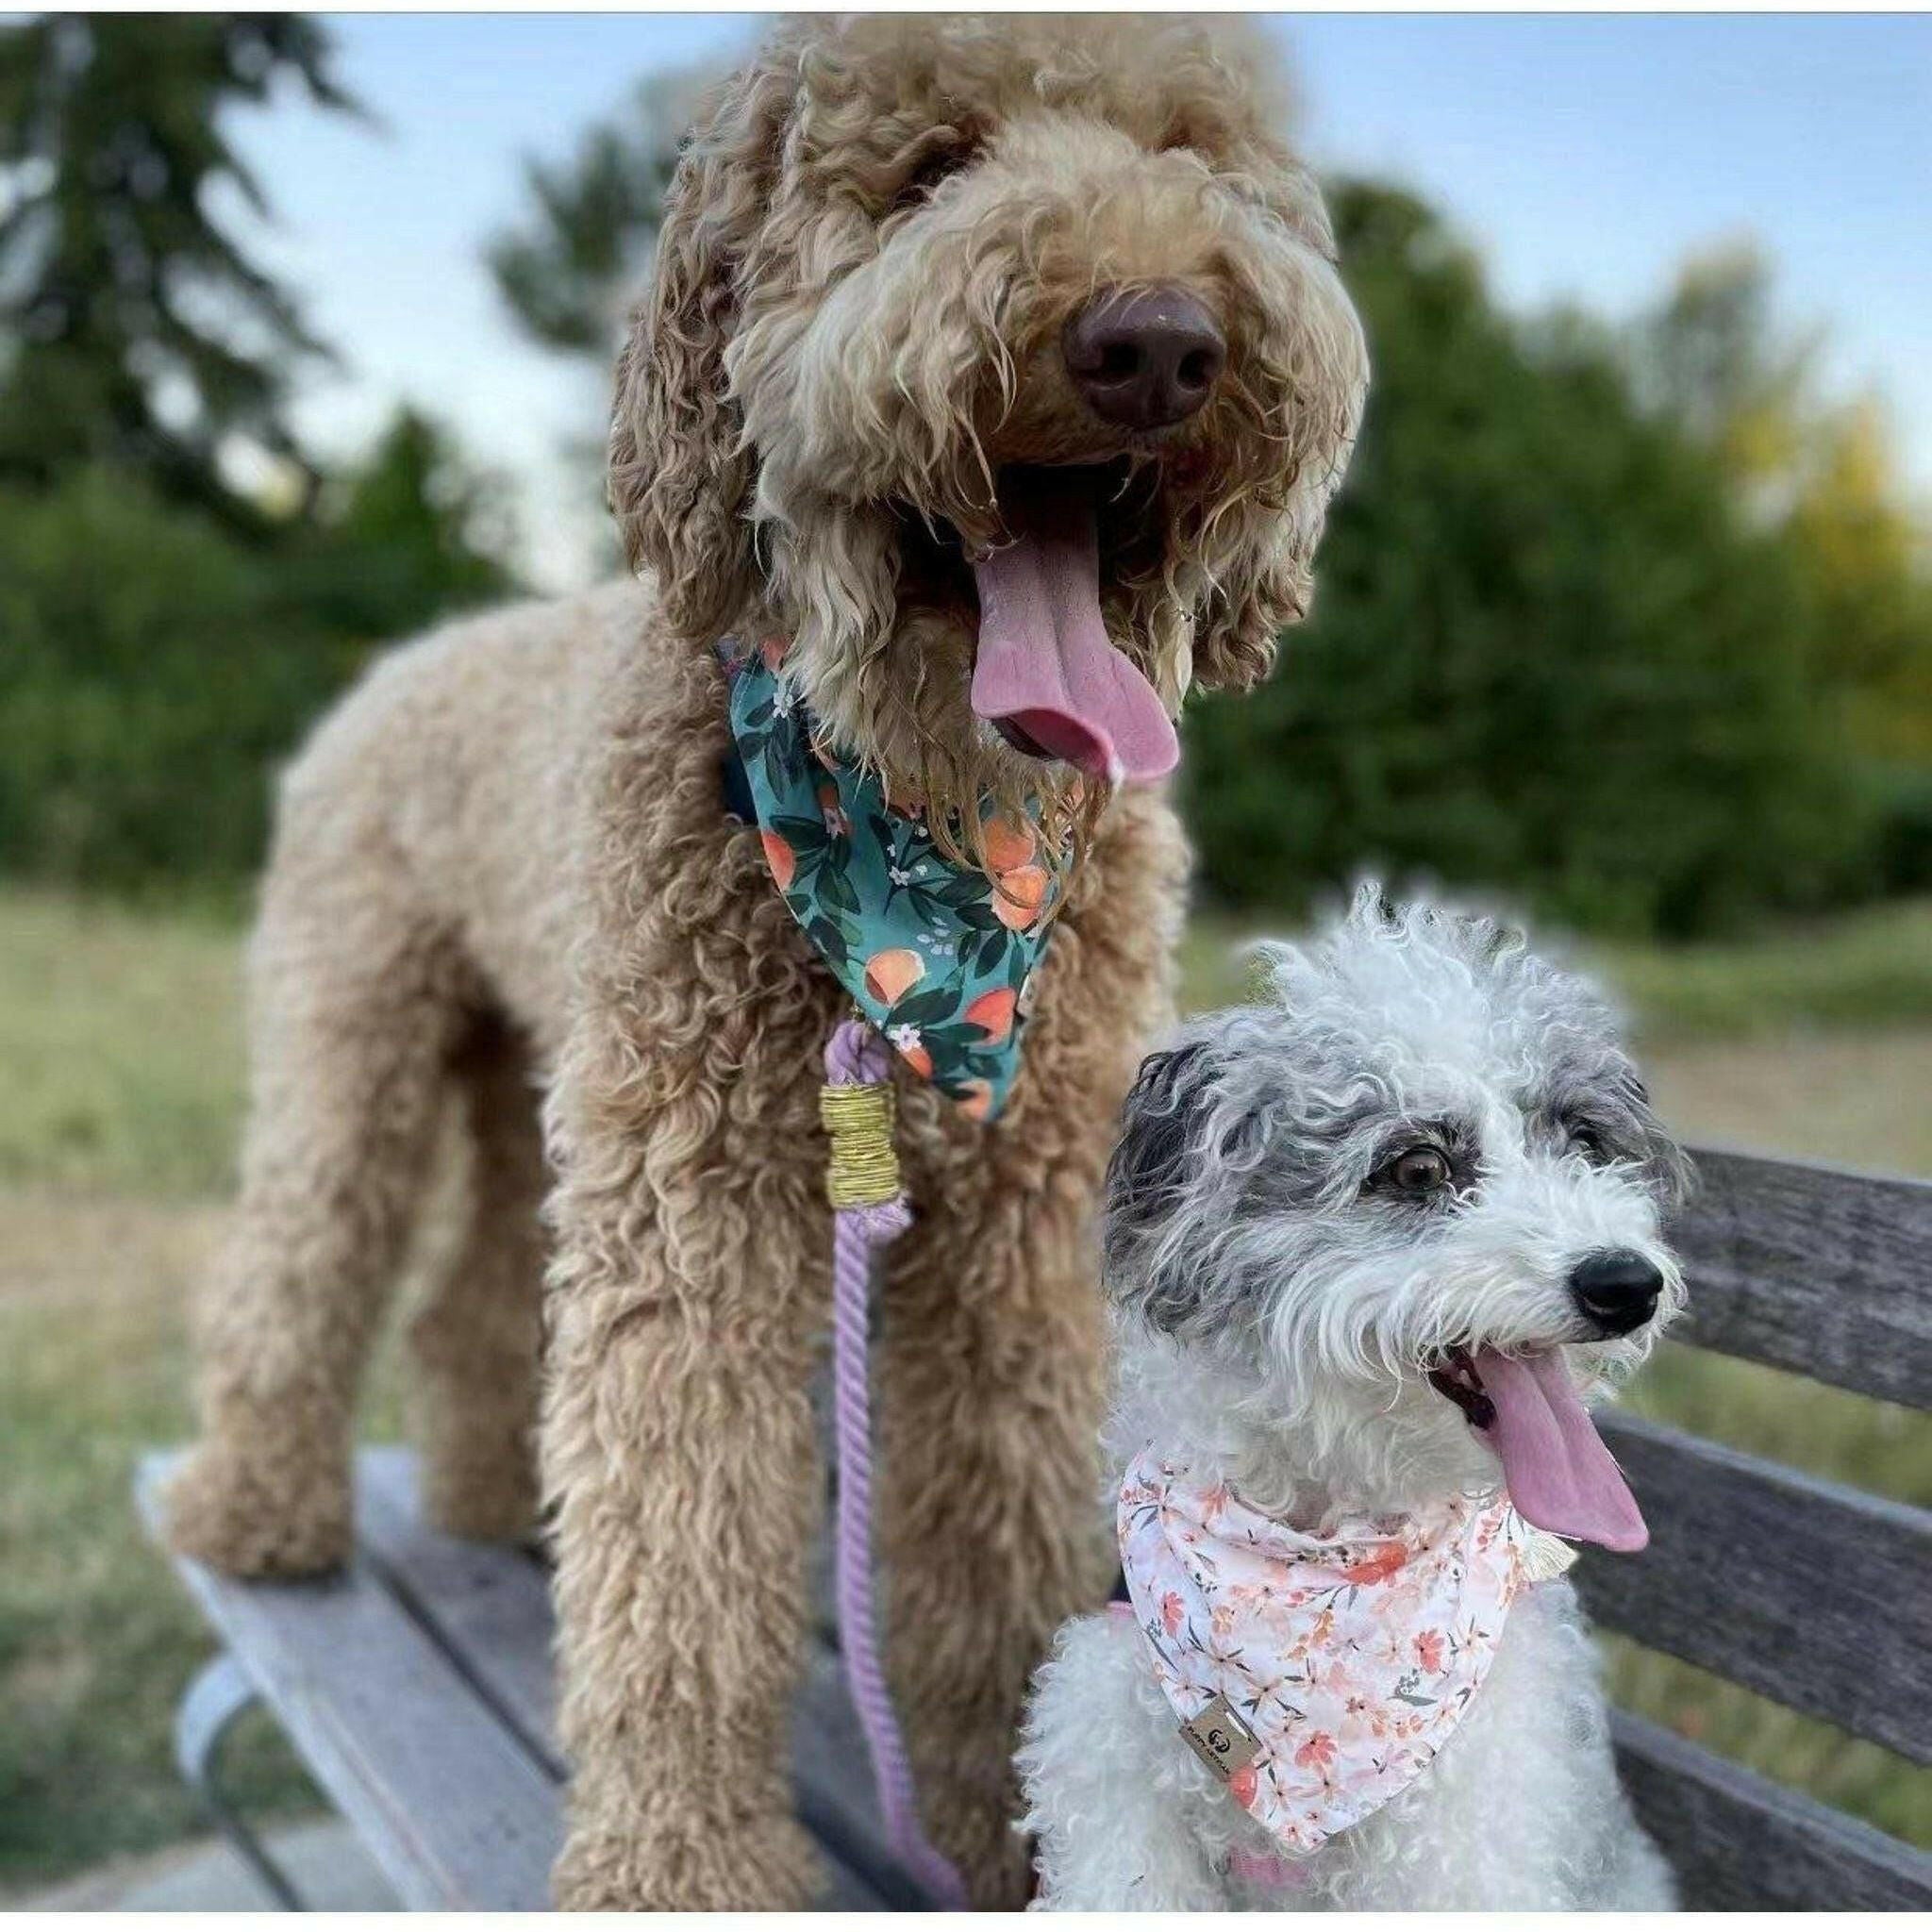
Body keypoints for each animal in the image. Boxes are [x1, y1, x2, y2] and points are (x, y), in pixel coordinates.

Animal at [170, 15, 1375, 1908]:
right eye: (929, 166)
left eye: (1192, 153)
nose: (1155, 339)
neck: (918, 864)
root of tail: (410, 659)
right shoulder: (698, 1198)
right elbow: (680, 1544)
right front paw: (682, 1864)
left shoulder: (1022, 1226)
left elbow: (991, 1543)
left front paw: (1003, 1834)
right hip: (357, 1023)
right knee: (303, 1252)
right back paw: (255, 1509)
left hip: (529, 1058)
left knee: (467, 1297)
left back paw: (478, 1498)